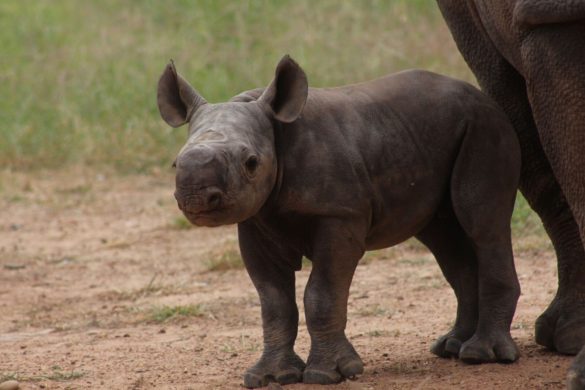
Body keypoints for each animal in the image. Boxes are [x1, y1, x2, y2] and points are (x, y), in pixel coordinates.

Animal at [156, 54, 520, 386]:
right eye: (175, 164)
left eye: (251, 163)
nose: (197, 197)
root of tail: (481, 95)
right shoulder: (256, 220)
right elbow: (274, 303)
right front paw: (272, 376)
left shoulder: (340, 215)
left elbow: (322, 293)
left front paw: (327, 374)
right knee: (444, 239)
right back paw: (451, 347)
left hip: (485, 128)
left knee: (482, 225)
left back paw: (481, 355)